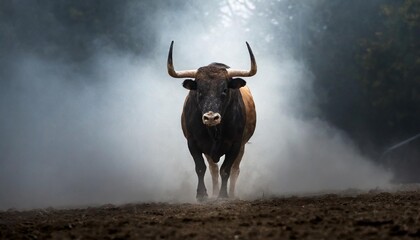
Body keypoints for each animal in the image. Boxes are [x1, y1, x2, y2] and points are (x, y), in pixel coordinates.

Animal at [167, 41, 256, 201]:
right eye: (199, 90)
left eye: (224, 90)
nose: (210, 117)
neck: (215, 131)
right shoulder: (192, 142)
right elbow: (200, 168)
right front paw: (202, 195)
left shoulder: (236, 144)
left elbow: (226, 170)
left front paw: (223, 195)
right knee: (213, 169)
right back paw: (213, 192)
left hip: (242, 146)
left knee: (235, 169)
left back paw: (232, 194)